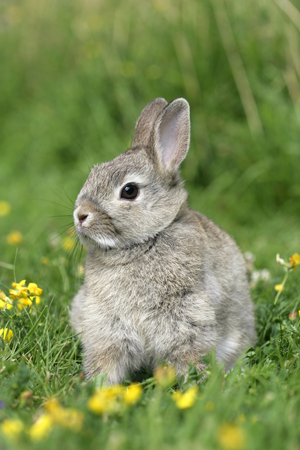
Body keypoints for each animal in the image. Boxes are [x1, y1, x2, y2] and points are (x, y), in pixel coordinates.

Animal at [70, 96, 255, 384]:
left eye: (129, 190)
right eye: (93, 175)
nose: (80, 215)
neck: (141, 244)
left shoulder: (187, 315)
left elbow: (189, 356)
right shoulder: (105, 323)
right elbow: (107, 359)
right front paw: (99, 387)